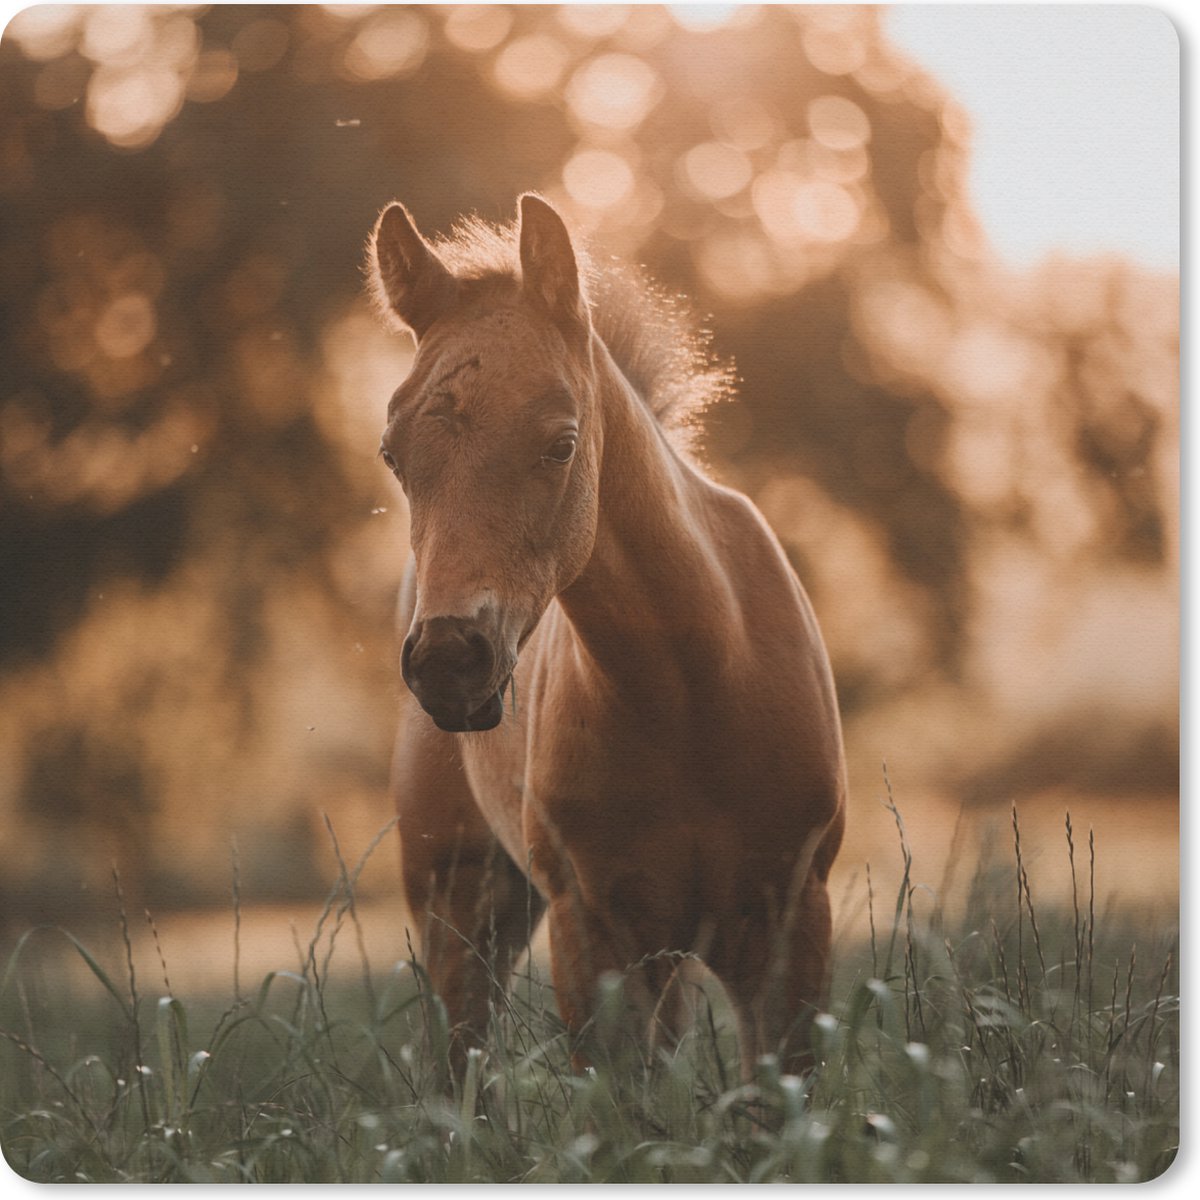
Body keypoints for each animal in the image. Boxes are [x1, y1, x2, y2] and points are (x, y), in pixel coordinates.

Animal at [366, 193, 846, 1079]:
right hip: (460, 898)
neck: (691, 688)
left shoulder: (791, 922)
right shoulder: (592, 938)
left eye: (560, 444)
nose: (449, 661)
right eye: (392, 455)